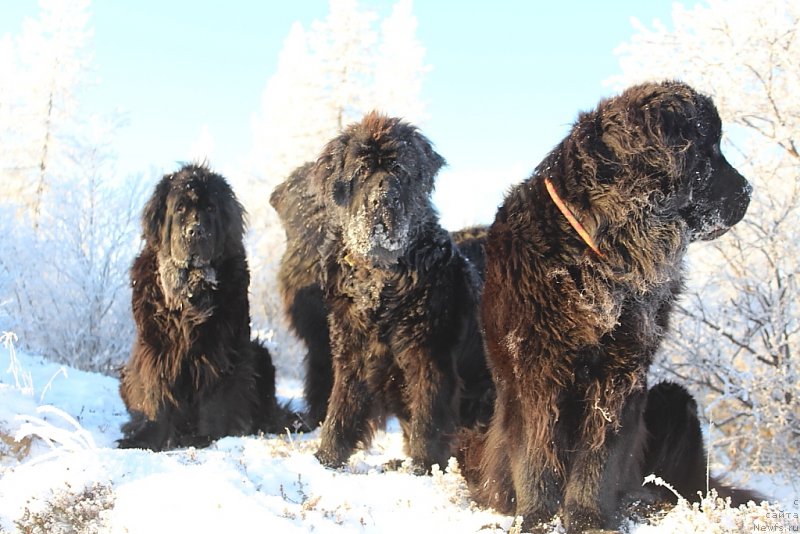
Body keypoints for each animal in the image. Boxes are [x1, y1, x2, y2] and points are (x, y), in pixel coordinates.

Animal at [117, 163, 282, 452]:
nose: (195, 232)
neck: (189, 293)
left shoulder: (222, 347)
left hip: (261, 356)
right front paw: (145, 438)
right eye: (180, 208)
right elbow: (155, 391)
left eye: (212, 209)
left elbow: (217, 396)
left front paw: (207, 437)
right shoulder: (155, 347)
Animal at [460, 81, 752, 532]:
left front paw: (588, 518)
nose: (748, 192)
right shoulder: (533, 370)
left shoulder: (621, 371)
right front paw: (538, 518)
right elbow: (534, 453)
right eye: (709, 152)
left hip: (674, 399)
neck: (599, 253)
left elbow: (600, 456)